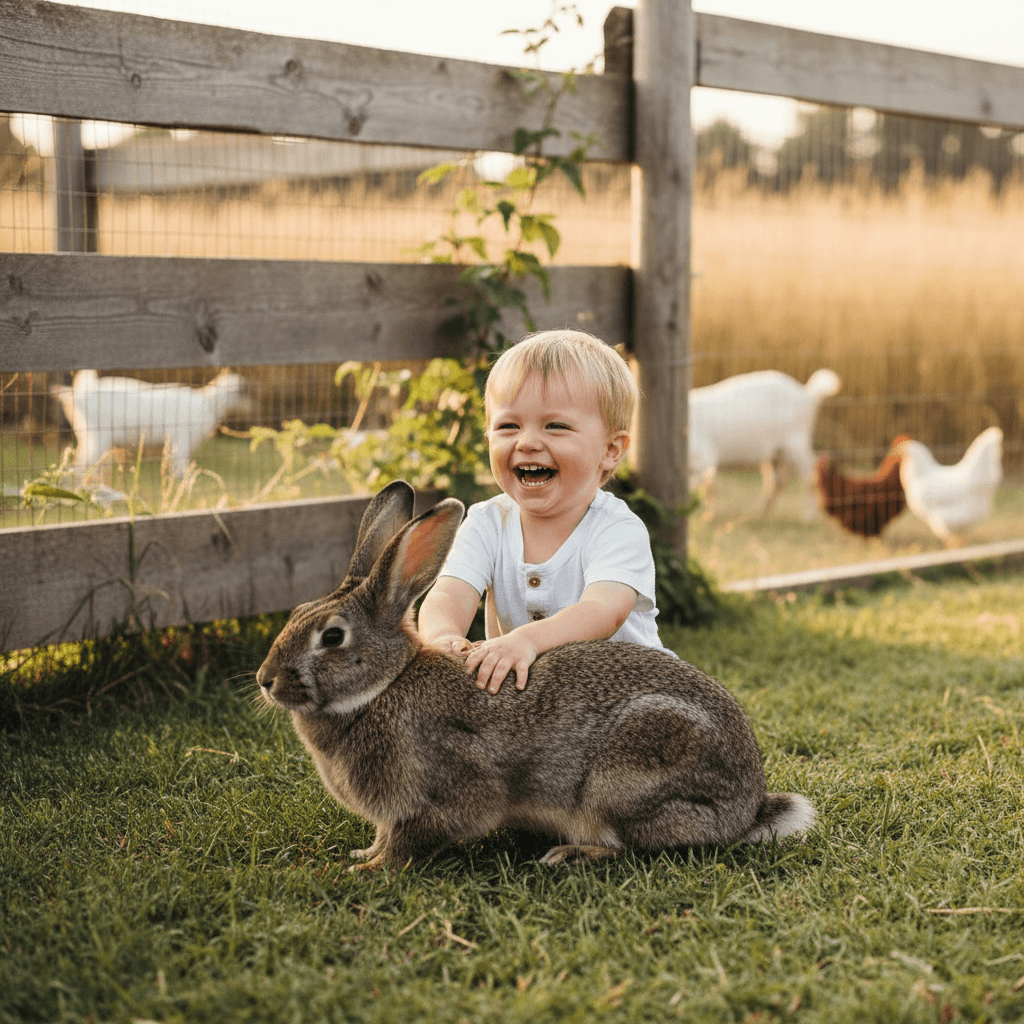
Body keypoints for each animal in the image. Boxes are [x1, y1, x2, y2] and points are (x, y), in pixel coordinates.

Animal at [256, 480, 815, 869]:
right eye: (297, 614)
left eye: (332, 637)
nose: (265, 680)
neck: (383, 686)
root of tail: (748, 806)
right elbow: (383, 837)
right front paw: (362, 857)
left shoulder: (443, 793)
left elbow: (408, 843)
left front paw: (368, 871)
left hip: (625, 778)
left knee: (633, 846)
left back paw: (569, 855)